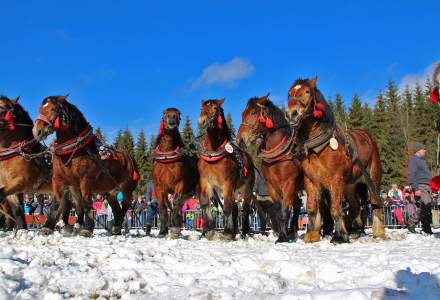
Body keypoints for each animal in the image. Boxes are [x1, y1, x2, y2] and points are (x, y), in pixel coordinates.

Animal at [32, 96, 138, 237]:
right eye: (40, 109)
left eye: (53, 109)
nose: (36, 131)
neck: (74, 150)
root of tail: (130, 158)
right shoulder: (62, 181)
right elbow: (61, 203)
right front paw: (49, 227)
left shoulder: (85, 180)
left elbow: (86, 203)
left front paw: (86, 229)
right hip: (110, 192)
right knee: (116, 207)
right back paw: (116, 226)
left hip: (126, 188)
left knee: (126, 204)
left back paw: (117, 224)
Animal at [152, 107, 199, 237]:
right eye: (164, 114)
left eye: (178, 114)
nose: (172, 118)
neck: (167, 157)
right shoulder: (159, 188)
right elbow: (163, 208)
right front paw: (163, 231)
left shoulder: (179, 185)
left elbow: (176, 204)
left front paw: (174, 228)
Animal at [199, 99, 256, 240]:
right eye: (201, 108)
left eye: (215, 108)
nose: (202, 121)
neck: (213, 155)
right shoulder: (206, 182)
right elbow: (205, 204)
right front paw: (207, 230)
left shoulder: (227, 183)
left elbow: (226, 208)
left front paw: (227, 232)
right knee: (236, 208)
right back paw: (235, 230)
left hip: (246, 189)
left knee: (245, 209)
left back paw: (244, 232)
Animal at [237, 95, 302, 243]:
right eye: (243, 113)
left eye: (253, 113)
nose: (240, 139)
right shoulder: (272, 185)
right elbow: (278, 210)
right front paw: (282, 234)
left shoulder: (288, 184)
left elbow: (285, 210)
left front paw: (283, 237)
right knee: (297, 204)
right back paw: (292, 231)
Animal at [288, 78, 384, 244]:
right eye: (289, 94)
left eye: (307, 92)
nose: (291, 113)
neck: (318, 147)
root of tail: (367, 136)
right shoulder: (310, 181)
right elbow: (312, 207)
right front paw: (312, 234)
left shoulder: (335, 179)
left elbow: (335, 208)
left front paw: (339, 236)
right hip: (350, 186)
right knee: (355, 206)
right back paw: (355, 231)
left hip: (372, 178)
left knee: (374, 202)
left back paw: (378, 232)